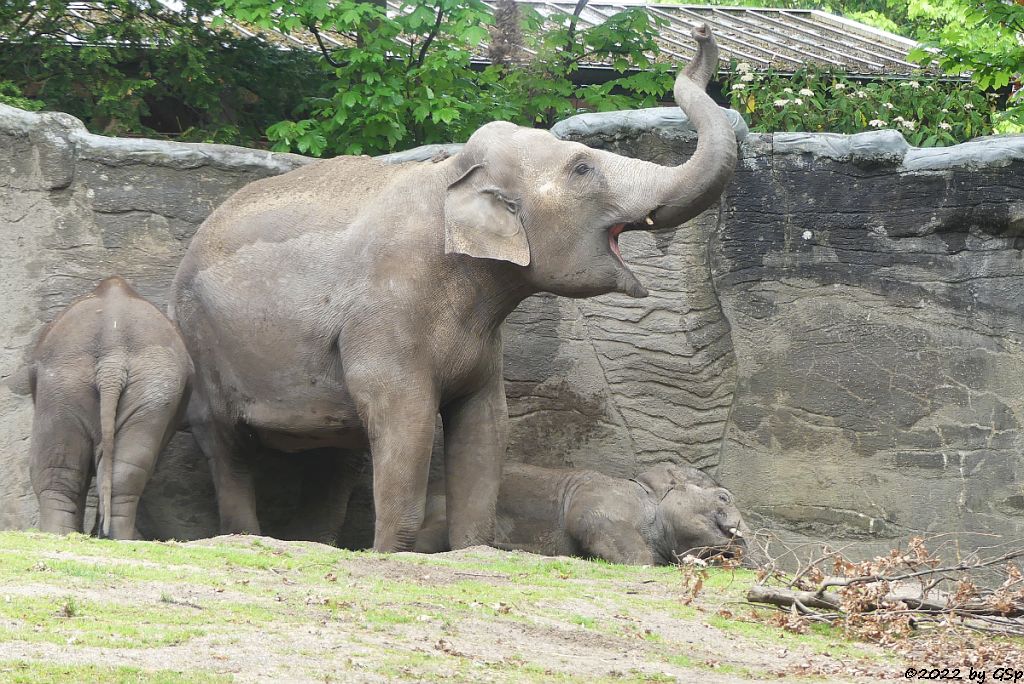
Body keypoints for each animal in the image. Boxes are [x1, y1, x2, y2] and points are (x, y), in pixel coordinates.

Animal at [29, 276, 192, 540]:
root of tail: (112, 355)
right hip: (138, 382)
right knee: (120, 469)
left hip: (65, 381)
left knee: (61, 469)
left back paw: (64, 535)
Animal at [172, 25, 741, 557]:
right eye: (582, 168)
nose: (701, 35)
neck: (449, 175)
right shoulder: (386, 312)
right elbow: (408, 421)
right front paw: (391, 556)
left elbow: (486, 424)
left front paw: (471, 548)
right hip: (201, 340)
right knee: (226, 445)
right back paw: (246, 534)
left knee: (332, 455)